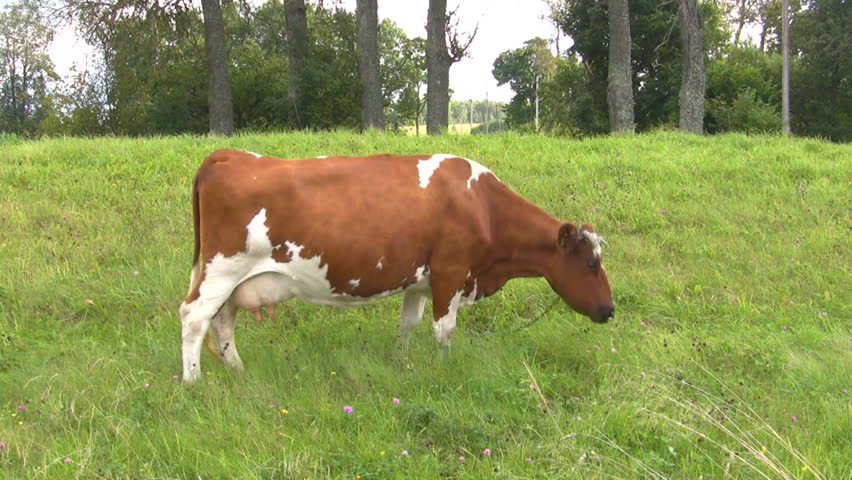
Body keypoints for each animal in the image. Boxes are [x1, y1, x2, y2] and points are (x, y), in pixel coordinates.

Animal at [179, 150, 614, 383]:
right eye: (591, 262)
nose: (610, 310)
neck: (483, 206)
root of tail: (228, 155)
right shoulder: (451, 273)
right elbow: (444, 328)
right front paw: (443, 367)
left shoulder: (420, 281)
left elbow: (409, 323)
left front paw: (401, 360)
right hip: (222, 269)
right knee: (194, 318)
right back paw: (192, 380)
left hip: (231, 280)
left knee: (223, 321)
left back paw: (238, 370)